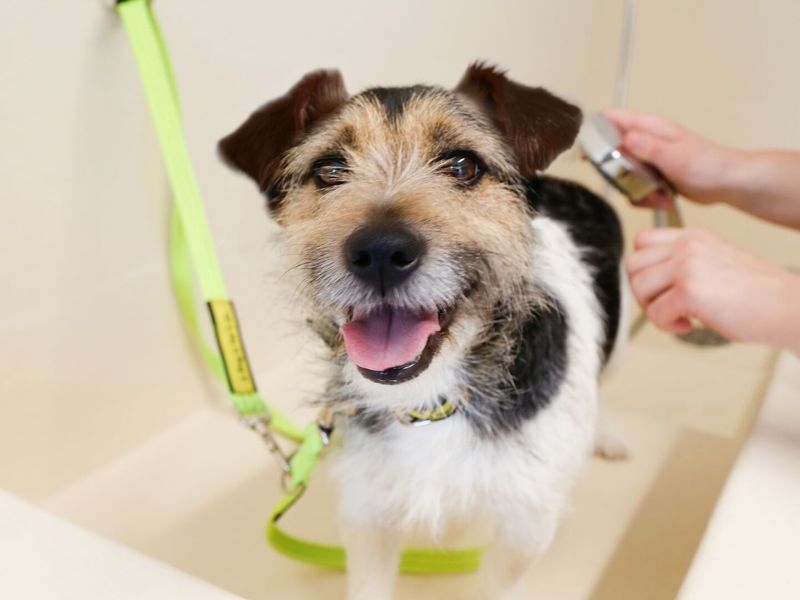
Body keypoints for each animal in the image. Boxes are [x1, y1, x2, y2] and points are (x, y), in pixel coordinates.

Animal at [219, 63, 624, 596]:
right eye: (330, 169)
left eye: (463, 165)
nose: (380, 252)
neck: (430, 399)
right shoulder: (367, 513)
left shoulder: (527, 524)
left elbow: (497, 584)